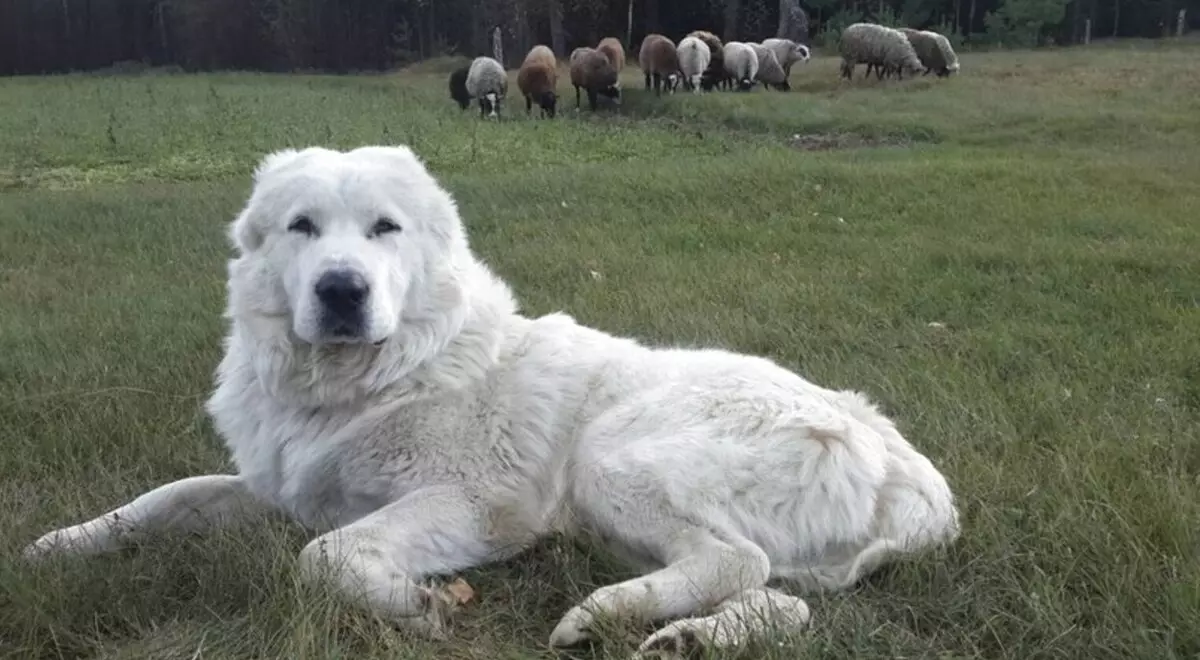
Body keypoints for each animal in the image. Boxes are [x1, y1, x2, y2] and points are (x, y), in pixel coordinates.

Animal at [23, 145, 960, 657]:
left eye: (385, 229)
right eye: (301, 228)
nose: (340, 290)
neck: (360, 383)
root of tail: (907, 465)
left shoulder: (476, 504)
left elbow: (323, 557)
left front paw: (420, 606)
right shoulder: (278, 489)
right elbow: (165, 497)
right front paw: (59, 545)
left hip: (612, 457)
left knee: (737, 561)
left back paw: (601, 614)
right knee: (782, 599)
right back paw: (683, 636)